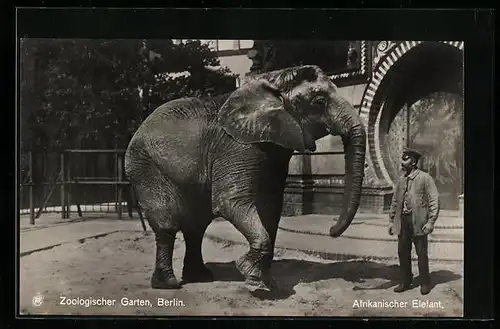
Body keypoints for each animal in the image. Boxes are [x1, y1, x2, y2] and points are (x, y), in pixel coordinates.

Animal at [124, 64, 368, 290]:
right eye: (319, 102)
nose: (331, 231)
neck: (274, 80)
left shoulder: (275, 146)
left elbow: (271, 205)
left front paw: (266, 284)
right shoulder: (237, 145)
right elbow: (231, 201)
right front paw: (250, 274)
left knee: (197, 226)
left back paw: (200, 278)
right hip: (145, 166)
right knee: (167, 223)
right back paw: (168, 284)